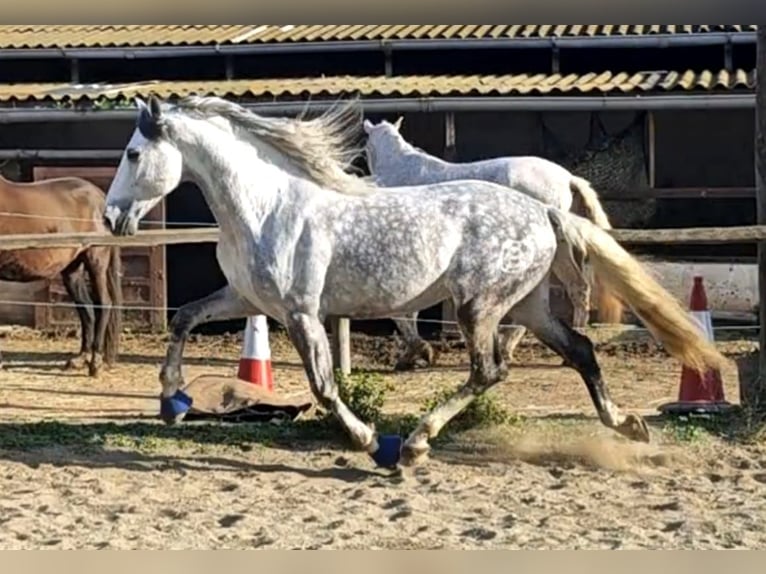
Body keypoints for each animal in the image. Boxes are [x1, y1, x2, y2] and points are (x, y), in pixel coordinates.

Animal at [0, 173, 122, 376]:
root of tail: (99, 196)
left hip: (96, 262)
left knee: (103, 304)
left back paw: (95, 363)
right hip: (73, 270)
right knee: (86, 309)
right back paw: (80, 359)